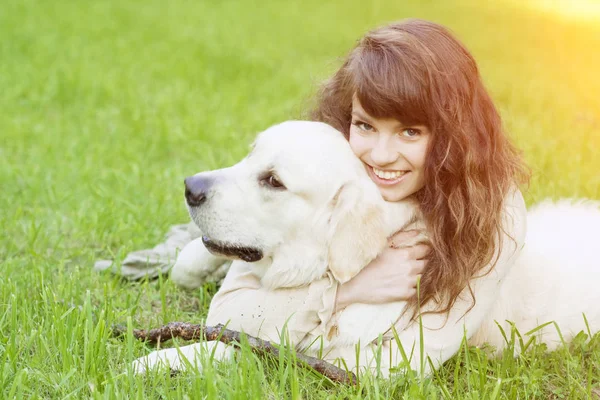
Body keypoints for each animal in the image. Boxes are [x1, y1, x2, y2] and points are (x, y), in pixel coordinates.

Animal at [134, 120, 600, 376]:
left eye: (274, 181)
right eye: (249, 157)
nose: (190, 187)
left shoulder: (345, 359)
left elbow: (241, 346)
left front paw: (153, 362)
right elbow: (196, 260)